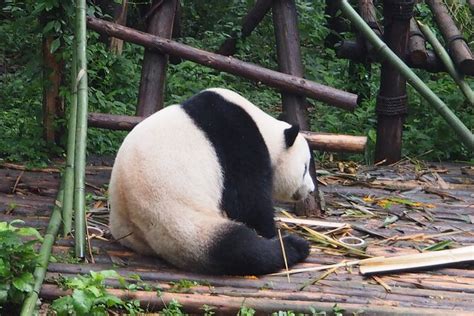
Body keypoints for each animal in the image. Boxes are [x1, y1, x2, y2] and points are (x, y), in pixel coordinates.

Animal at [108, 87, 314, 276]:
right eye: (305, 168)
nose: (311, 190)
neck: (266, 131)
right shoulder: (237, 141)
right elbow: (249, 200)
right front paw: (271, 230)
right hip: (180, 223)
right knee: (237, 247)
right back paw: (295, 246)